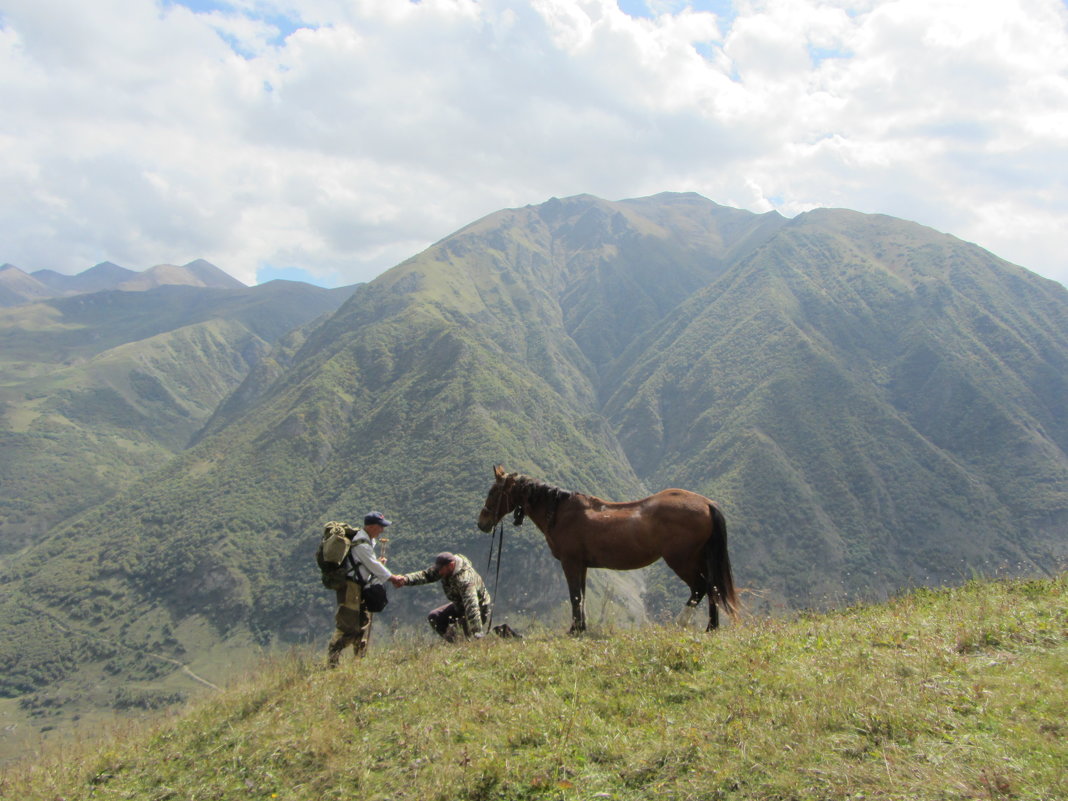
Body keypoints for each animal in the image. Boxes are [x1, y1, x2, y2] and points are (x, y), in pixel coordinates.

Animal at [480, 467, 739, 636]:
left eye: (493, 492)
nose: (482, 523)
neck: (561, 512)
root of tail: (706, 503)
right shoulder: (582, 565)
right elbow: (582, 596)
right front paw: (581, 627)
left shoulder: (570, 563)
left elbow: (575, 596)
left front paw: (574, 629)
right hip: (700, 559)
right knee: (713, 588)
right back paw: (711, 627)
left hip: (682, 560)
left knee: (700, 588)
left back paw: (680, 623)